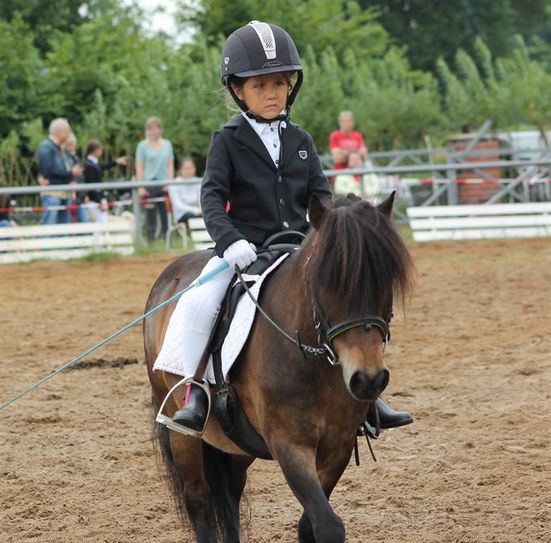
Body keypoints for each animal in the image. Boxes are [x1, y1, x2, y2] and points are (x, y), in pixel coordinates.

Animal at [144, 194, 412, 543]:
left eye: (386, 280)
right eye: (326, 281)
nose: (368, 380)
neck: (314, 361)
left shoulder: (338, 445)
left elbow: (309, 523)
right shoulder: (288, 443)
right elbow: (328, 524)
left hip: (236, 443)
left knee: (230, 495)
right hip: (182, 434)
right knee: (199, 501)